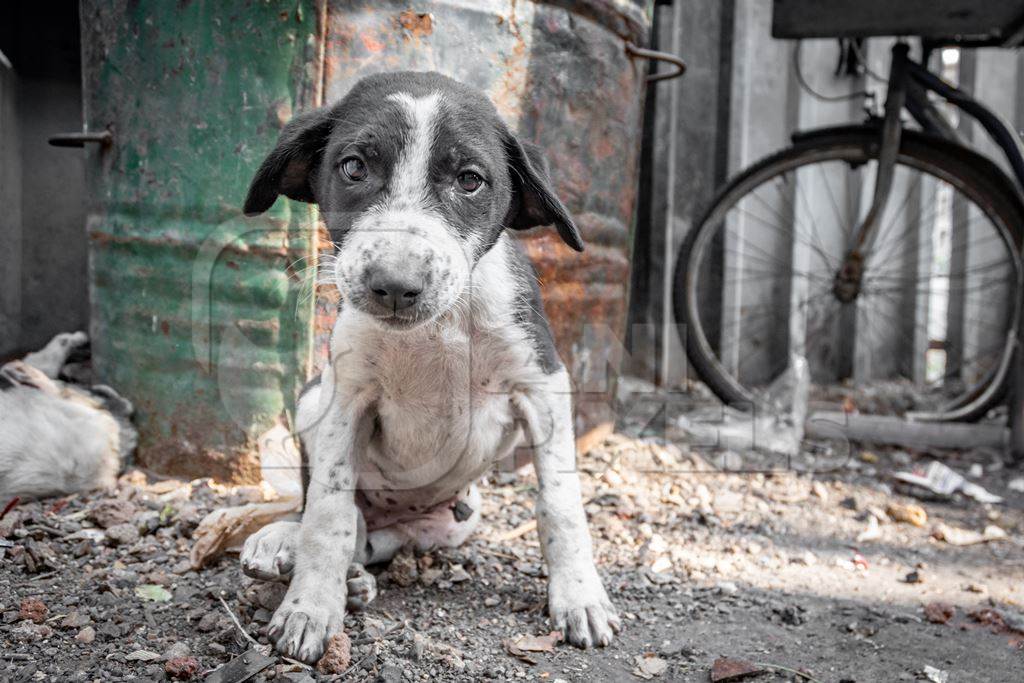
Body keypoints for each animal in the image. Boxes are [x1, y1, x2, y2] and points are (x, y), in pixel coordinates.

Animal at [241, 69, 614, 663]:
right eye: (354, 167)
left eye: (470, 180)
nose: (394, 285)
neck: (436, 330)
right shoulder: (345, 395)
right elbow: (326, 513)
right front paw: (309, 608)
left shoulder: (544, 384)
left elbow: (560, 504)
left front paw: (579, 597)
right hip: (310, 398)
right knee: (333, 515)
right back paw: (289, 546)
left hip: (458, 519)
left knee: (375, 540)